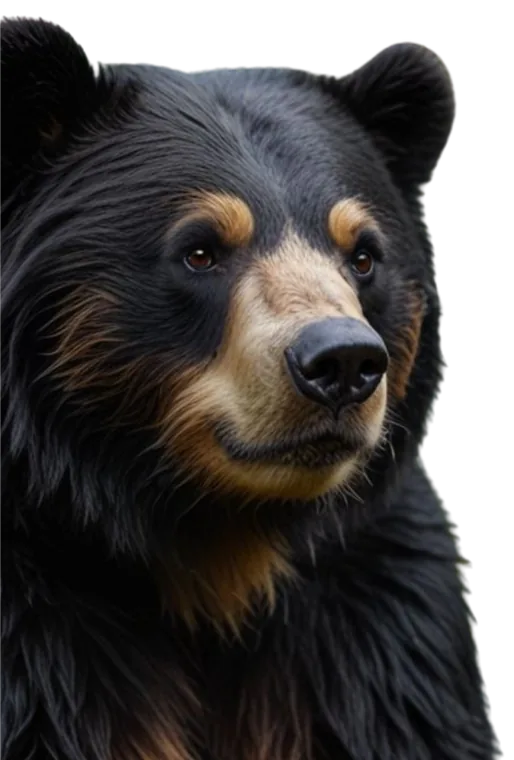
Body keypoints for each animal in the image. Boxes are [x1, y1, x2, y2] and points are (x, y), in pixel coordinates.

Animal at [0, 18, 500, 760]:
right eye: (200, 250)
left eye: (362, 255)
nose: (343, 362)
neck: (222, 549)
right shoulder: (40, 646)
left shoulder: (384, 637)